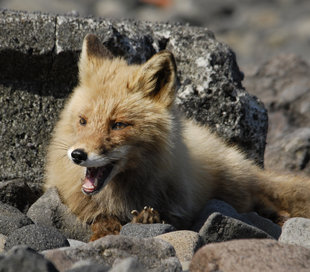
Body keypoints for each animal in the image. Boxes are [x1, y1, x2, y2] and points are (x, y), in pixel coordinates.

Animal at [44, 34, 310, 240]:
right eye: (83, 121)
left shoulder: (180, 209)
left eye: (118, 125)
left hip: (235, 185)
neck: (120, 195)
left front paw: (147, 219)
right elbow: (100, 219)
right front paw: (105, 231)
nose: (77, 155)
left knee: (263, 201)